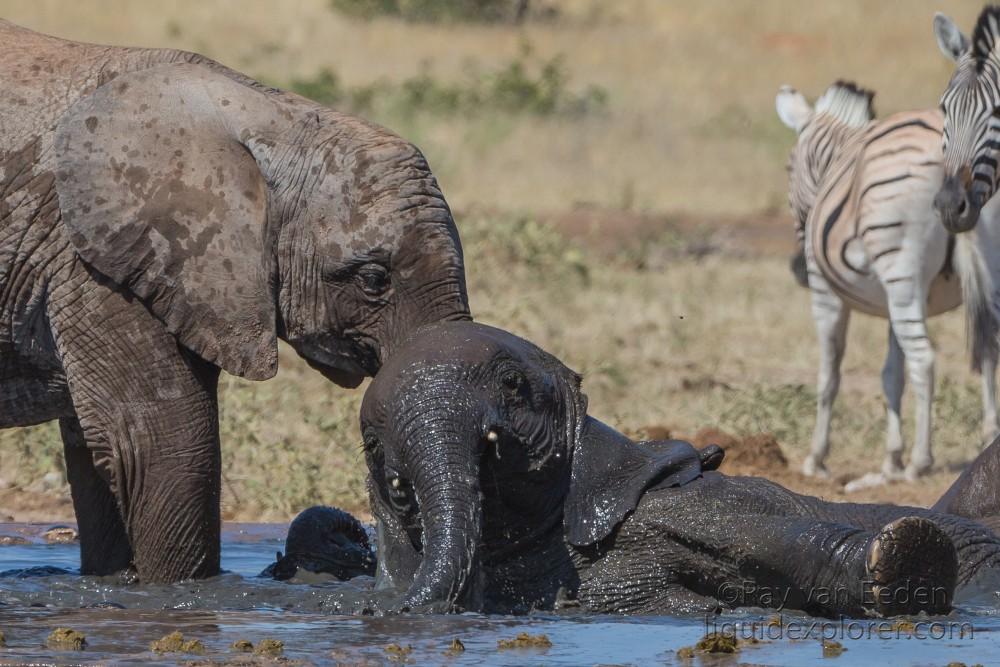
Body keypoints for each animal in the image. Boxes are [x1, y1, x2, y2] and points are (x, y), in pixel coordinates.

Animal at [354, 320, 1000, 620]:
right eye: (374, 447)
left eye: (513, 387)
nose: (388, 613)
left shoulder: (688, 501)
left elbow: (773, 536)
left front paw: (905, 559)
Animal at [776, 81, 996, 488]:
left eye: (787, 167)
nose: (797, 269)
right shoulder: (901, 303)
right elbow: (892, 375)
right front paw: (891, 458)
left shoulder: (826, 293)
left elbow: (829, 374)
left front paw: (817, 459)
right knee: (990, 349)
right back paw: (988, 439)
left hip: (899, 268)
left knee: (925, 359)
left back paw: (920, 462)